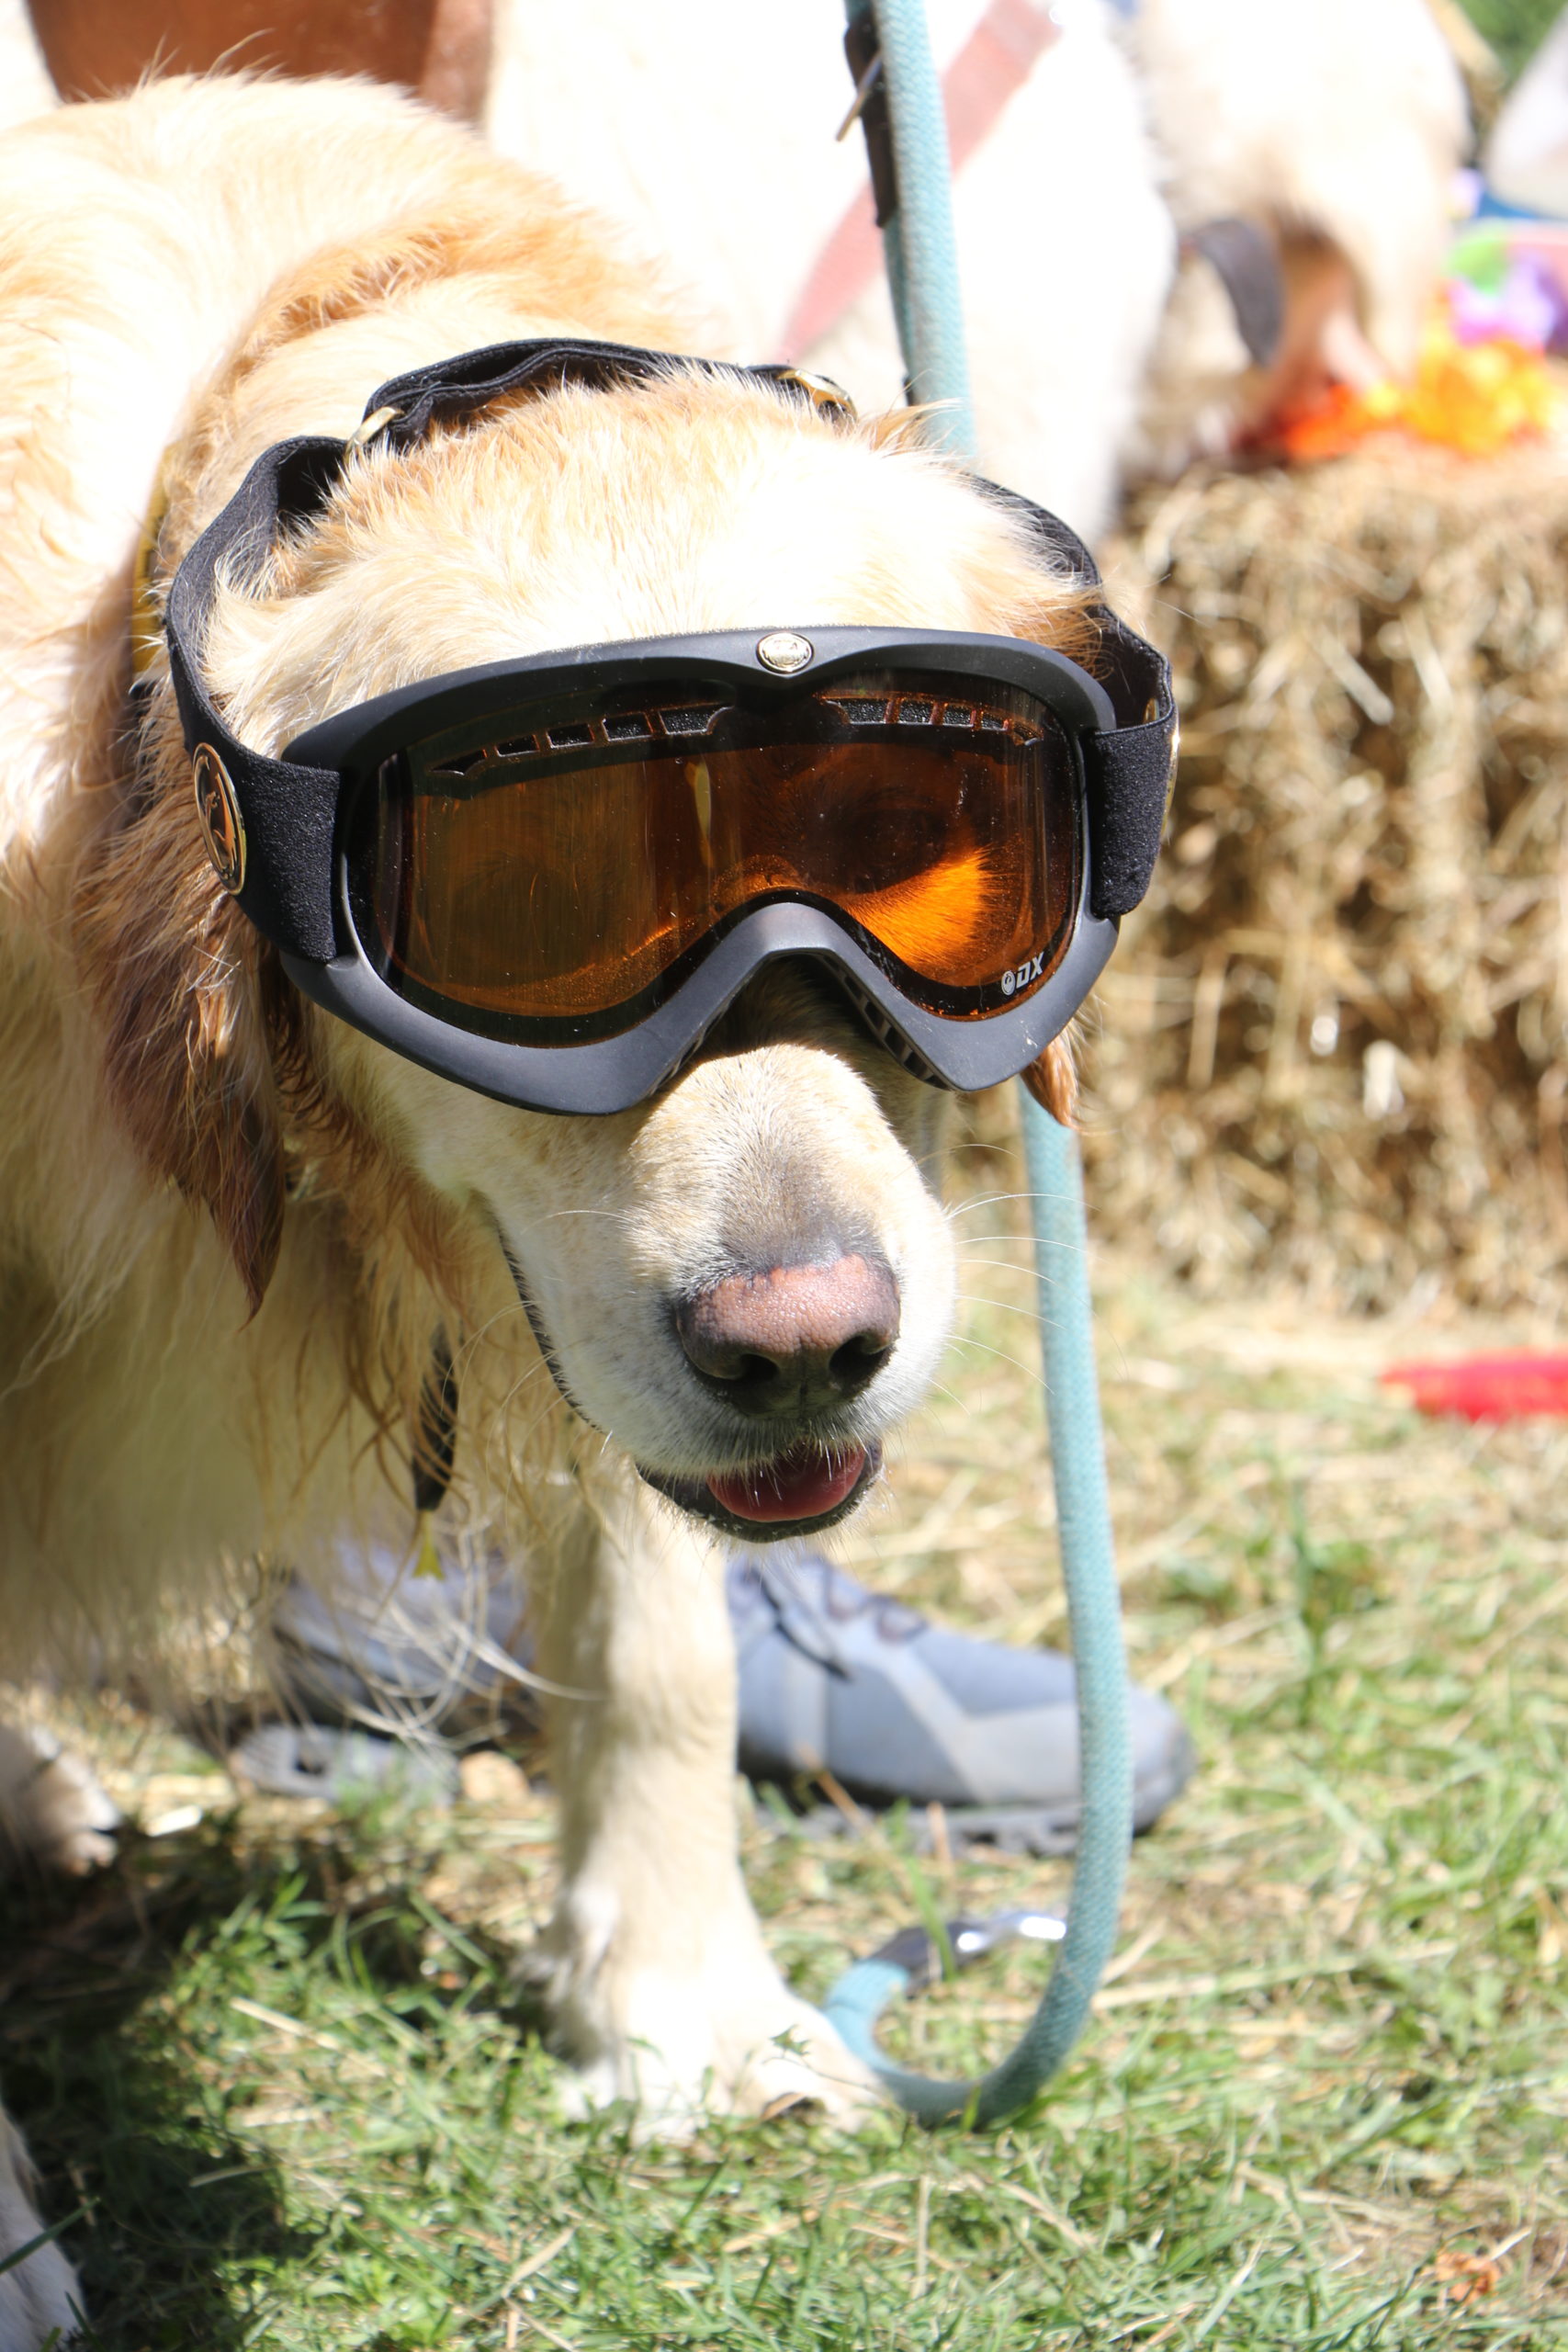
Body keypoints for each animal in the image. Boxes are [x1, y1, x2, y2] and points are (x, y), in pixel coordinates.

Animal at [0, 71, 1111, 2342]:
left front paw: (676, 2008)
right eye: (527, 903)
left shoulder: (591, 1317)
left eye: (908, 841)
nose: (811, 1342)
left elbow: (664, 1629)